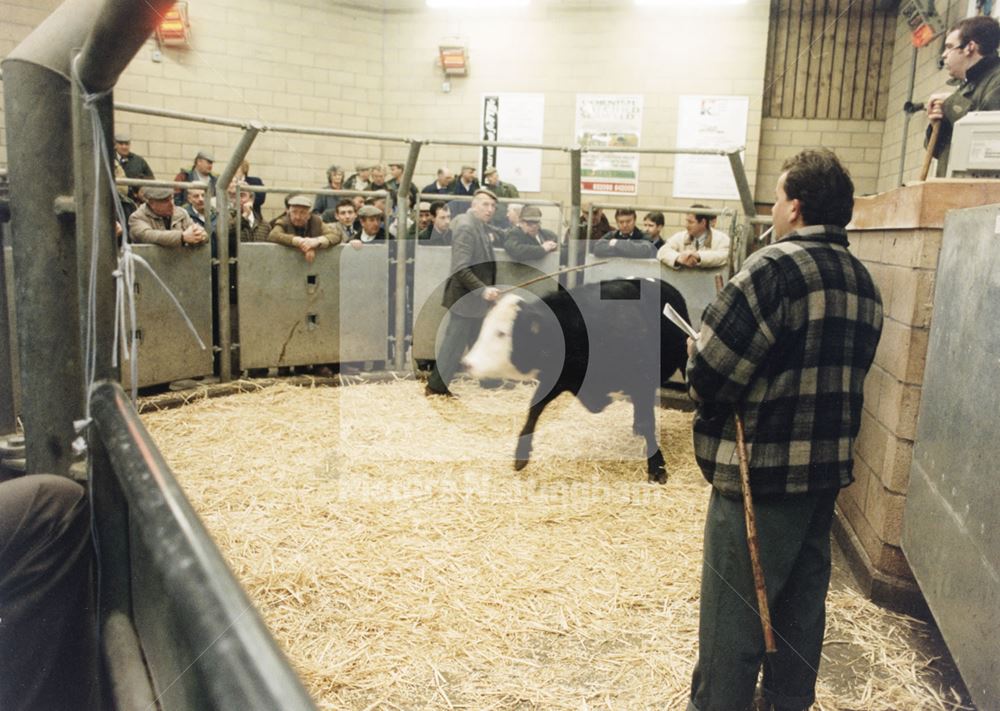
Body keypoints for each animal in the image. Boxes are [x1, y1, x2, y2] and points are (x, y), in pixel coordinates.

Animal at [464, 278, 692, 484]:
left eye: (502, 333)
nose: (467, 363)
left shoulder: (642, 381)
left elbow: (648, 423)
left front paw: (657, 467)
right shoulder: (557, 378)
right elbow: (534, 408)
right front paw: (521, 454)